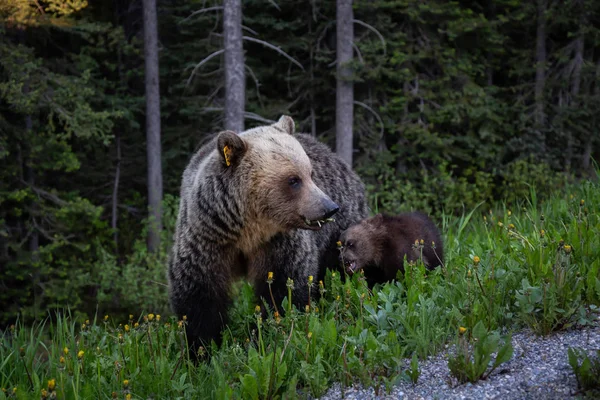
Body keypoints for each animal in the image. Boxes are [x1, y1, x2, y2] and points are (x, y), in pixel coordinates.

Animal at [166, 115, 368, 356]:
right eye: (293, 180)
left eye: (310, 174)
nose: (329, 208)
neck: (248, 229)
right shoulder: (209, 238)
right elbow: (199, 294)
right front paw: (202, 347)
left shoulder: (278, 242)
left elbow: (283, 287)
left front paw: (263, 334)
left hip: (344, 226)